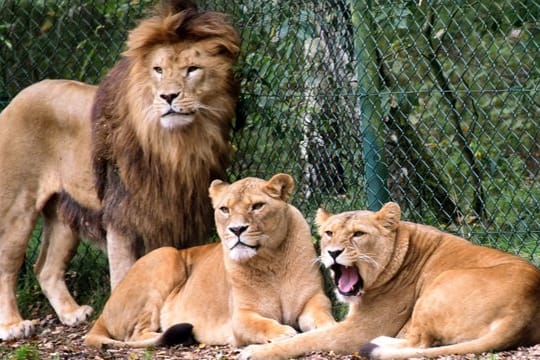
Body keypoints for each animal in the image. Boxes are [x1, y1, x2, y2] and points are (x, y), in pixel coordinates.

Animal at [0, 0, 238, 340]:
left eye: (192, 69)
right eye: (158, 70)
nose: (168, 96)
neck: (176, 145)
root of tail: (20, 95)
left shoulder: (175, 214)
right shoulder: (122, 216)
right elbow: (126, 274)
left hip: (64, 212)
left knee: (45, 268)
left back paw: (71, 314)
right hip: (17, 207)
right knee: (7, 265)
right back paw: (12, 325)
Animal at [84, 174, 334, 348]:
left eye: (257, 206)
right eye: (224, 209)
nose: (237, 229)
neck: (271, 260)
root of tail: (104, 310)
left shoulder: (313, 299)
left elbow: (322, 315)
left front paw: (330, 327)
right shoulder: (240, 316)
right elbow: (261, 324)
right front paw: (284, 333)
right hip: (166, 254)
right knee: (134, 335)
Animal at [240, 201, 540, 358]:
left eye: (358, 234)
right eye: (328, 233)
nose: (333, 252)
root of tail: (525, 309)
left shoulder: (358, 330)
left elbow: (307, 339)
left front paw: (255, 351)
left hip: (440, 283)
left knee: (419, 343)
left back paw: (380, 343)